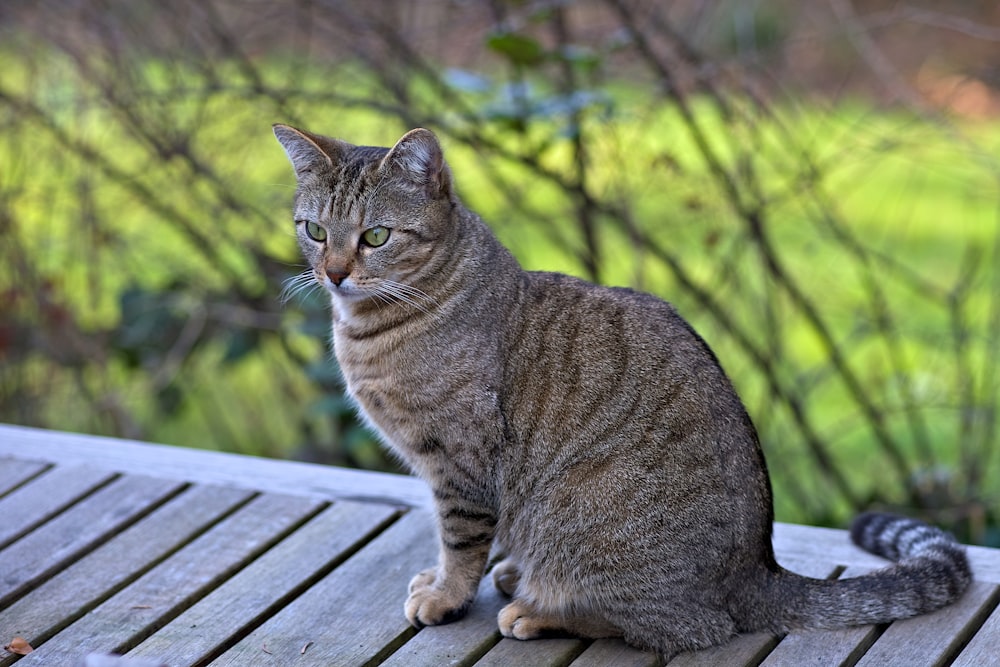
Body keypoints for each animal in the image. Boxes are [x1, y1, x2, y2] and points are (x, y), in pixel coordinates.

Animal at [272, 122, 968, 660]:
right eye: (314, 230)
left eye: (376, 236)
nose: (333, 272)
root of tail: (758, 570)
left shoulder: (460, 465)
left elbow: (460, 543)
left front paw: (446, 596)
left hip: (585, 513)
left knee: (687, 627)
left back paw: (538, 610)